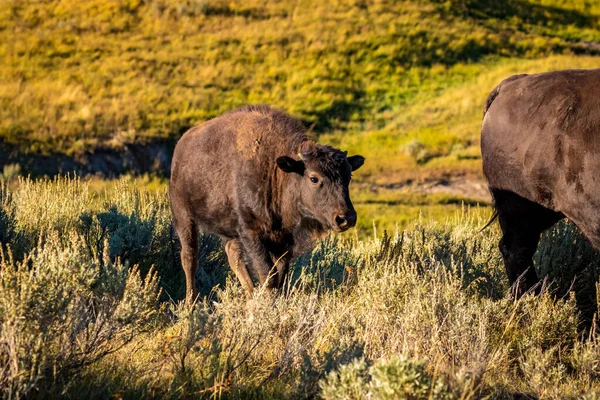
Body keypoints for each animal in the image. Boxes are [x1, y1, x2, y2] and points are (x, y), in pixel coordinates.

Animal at [170, 104, 366, 302]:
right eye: (313, 178)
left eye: (348, 176)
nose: (345, 218)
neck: (277, 170)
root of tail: (181, 146)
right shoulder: (252, 233)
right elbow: (268, 276)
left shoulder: (284, 240)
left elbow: (280, 276)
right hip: (183, 217)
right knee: (189, 256)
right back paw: (191, 301)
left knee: (232, 254)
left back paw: (250, 296)